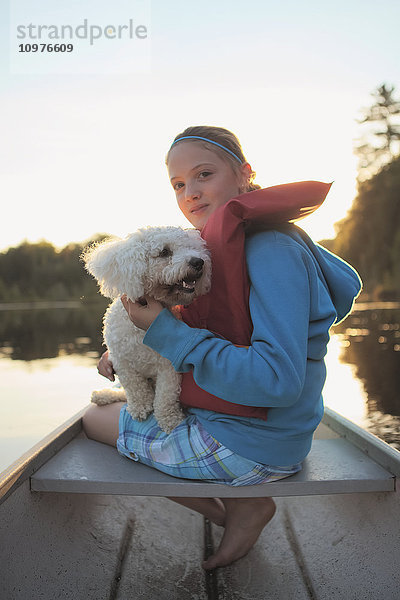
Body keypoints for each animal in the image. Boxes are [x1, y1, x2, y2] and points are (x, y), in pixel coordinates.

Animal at [82, 227, 212, 434]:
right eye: (164, 252)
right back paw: (103, 395)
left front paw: (170, 420)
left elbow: (165, 396)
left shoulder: (169, 367)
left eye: (192, 247)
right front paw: (141, 407)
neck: (141, 332)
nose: (198, 262)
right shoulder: (122, 362)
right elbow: (134, 388)